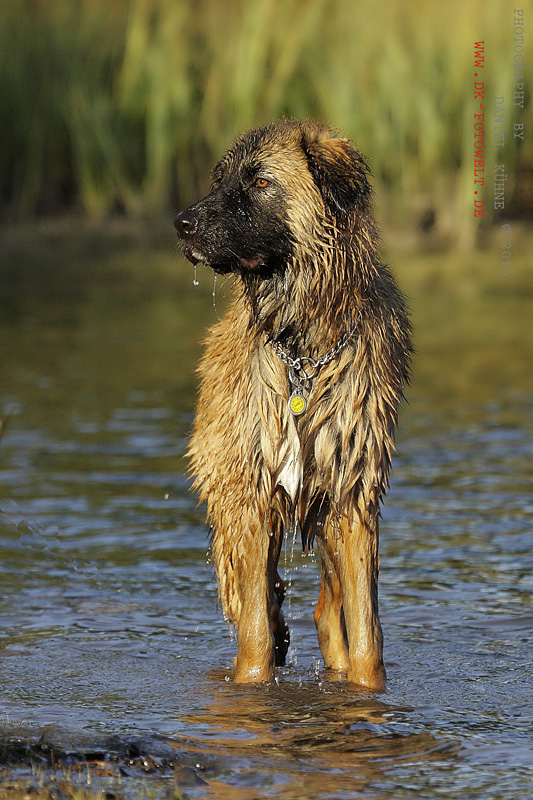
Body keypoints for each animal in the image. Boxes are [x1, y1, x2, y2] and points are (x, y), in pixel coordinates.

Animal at [175, 120, 412, 688]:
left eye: (260, 181)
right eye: (220, 179)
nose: (181, 224)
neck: (303, 347)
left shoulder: (352, 496)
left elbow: (366, 634)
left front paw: (368, 693)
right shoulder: (252, 498)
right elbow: (256, 630)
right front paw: (253, 684)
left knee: (328, 611)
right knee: (260, 599)